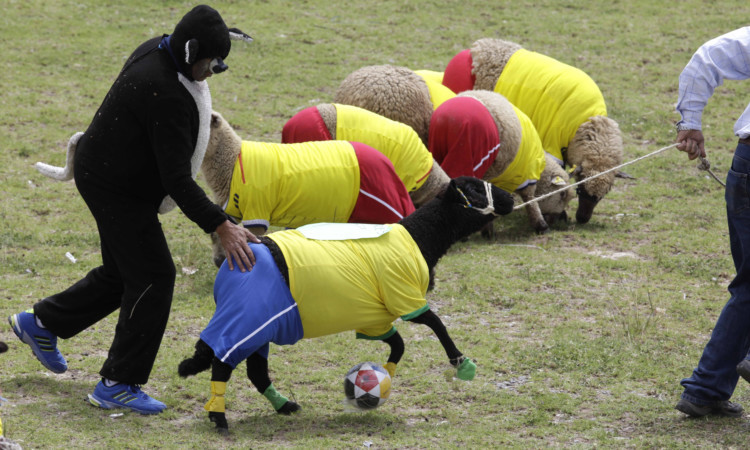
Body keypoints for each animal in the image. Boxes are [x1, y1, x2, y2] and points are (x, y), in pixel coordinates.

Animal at [176, 176, 516, 432]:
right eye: (474, 189)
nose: (511, 198)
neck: (418, 238)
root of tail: (230, 268)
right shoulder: (404, 295)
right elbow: (436, 323)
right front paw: (462, 363)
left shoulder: (375, 317)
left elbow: (399, 344)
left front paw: (384, 376)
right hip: (247, 320)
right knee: (222, 364)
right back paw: (219, 417)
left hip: (260, 326)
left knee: (254, 371)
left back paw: (284, 406)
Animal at [432, 89, 572, 234]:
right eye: (562, 194)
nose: (559, 220)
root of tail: (446, 118)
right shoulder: (525, 175)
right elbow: (530, 199)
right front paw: (540, 224)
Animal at [444, 37, 624, 224]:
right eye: (580, 190)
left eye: (603, 195)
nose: (582, 219)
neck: (585, 123)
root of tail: (477, 48)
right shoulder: (552, 143)